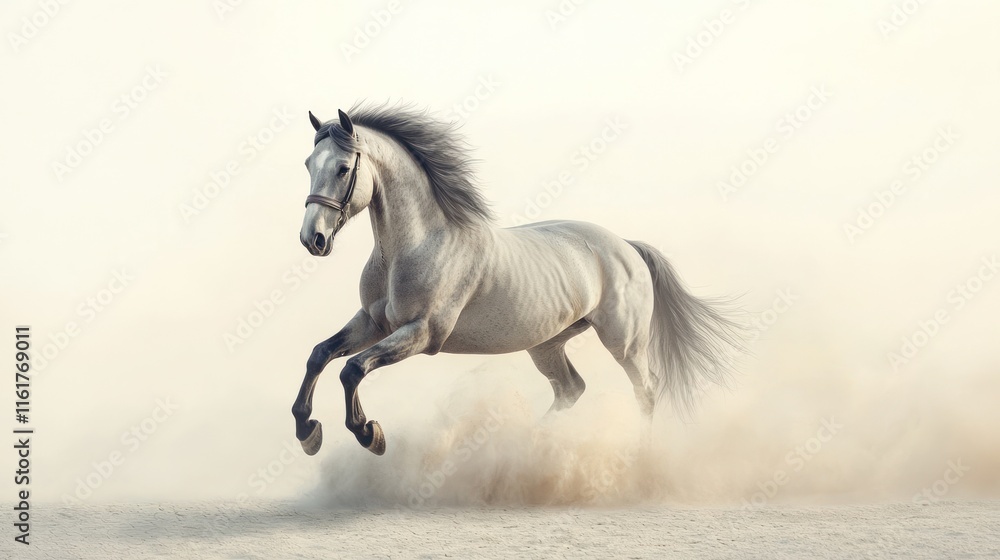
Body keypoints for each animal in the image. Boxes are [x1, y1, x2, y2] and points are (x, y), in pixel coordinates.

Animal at [291, 105, 741, 456]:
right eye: (309, 165)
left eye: (343, 168)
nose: (313, 239)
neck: (415, 245)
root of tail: (627, 246)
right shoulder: (372, 322)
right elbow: (319, 354)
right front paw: (307, 431)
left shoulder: (422, 333)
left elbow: (352, 369)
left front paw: (370, 434)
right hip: (547, 344)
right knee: (571, 388)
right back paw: (528, 444)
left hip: (624, 343)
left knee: (645, 389)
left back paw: (642, 458)